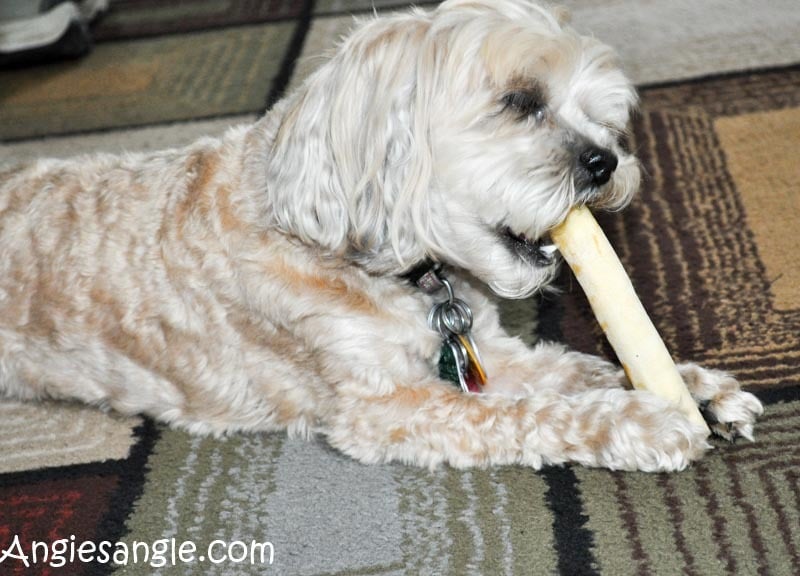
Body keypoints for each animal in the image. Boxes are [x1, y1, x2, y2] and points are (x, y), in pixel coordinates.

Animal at [0, 0, 764, 470]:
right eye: (520, 101)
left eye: (600, 112)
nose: (608, 161)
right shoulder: (383, 406)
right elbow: (534, 414)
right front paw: (644, 422)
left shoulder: (489, 353)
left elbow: (581, 368)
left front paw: (692, 387)